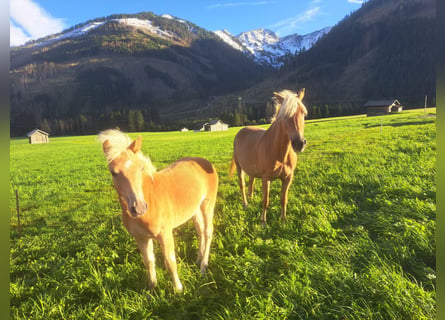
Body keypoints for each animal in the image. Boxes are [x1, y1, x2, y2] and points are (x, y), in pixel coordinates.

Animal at [97, 129, 217, 292]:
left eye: (141, 168)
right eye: (113, 172)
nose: (139, 207)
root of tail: (205, 162)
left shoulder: (165, 234)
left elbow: (170, 262)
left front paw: (178, 289)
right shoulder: (140, 238)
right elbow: (149, 262)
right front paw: (152, 289)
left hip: (207, 204)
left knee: (208, 231)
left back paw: (203, 266)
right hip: (195, 209)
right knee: (200, 231)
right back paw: (198, 259)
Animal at [229, 88, 306, 225]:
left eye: (303, 113)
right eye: (285, 116)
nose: (299, 144)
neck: (280, 154)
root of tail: (241, 131)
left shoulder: (288, 178)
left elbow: (283, 199)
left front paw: (283, 220)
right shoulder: (266, 179)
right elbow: (265, 201)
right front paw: (263, 221)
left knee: (251, 180)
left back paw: (251, 197)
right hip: (239, 167)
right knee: (242, 184)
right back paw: (245, 203)